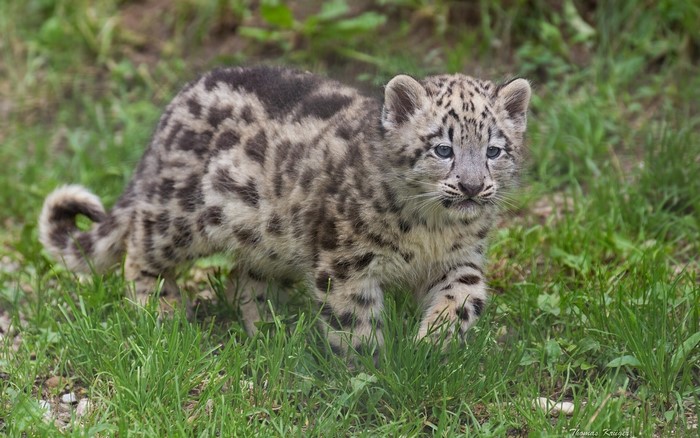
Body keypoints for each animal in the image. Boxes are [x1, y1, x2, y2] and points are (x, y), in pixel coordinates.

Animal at [39, 65, 531, 355]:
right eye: (443, 148)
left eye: (494, 150)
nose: (472, 186)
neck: (433, 229)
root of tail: (172, 110)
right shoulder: (345, 262)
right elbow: (354, 321)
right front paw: (370, 369)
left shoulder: (461, 257)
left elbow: (464, 296)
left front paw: (434, 341)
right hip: (179, 216)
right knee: (141, 244)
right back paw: (161, 309)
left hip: (267, 239)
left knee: (246, 279)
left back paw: (271, 330)